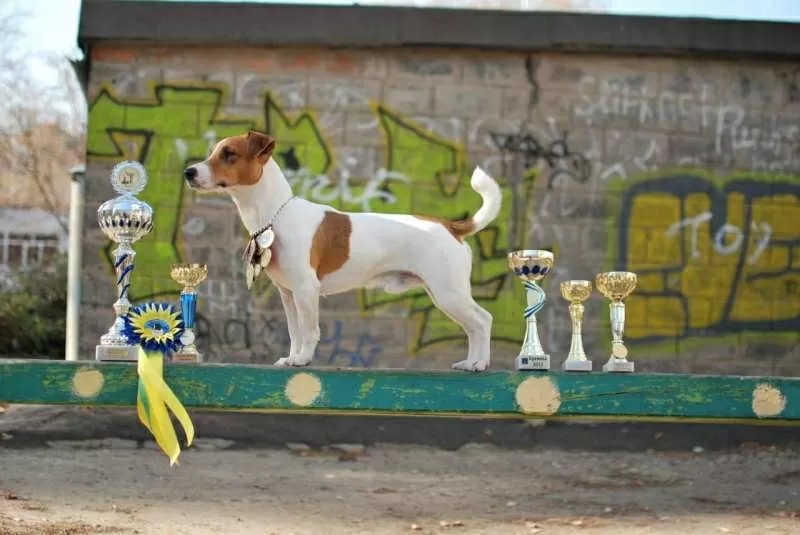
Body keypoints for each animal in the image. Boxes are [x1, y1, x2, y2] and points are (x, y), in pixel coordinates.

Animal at [184, 130, 504, 372]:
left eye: (229, 154)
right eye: (213, 152)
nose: (188, 171)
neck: (275, 214)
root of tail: (451, 226)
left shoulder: (306, 290)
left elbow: (310, 331)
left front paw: (303, 359)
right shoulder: (288, 294)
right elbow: (294, 331)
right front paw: (292, 357)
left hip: (448, 293)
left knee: (483, 321)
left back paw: (480, 363)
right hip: (444, 296)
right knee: (474, 326)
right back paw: (471, 362)